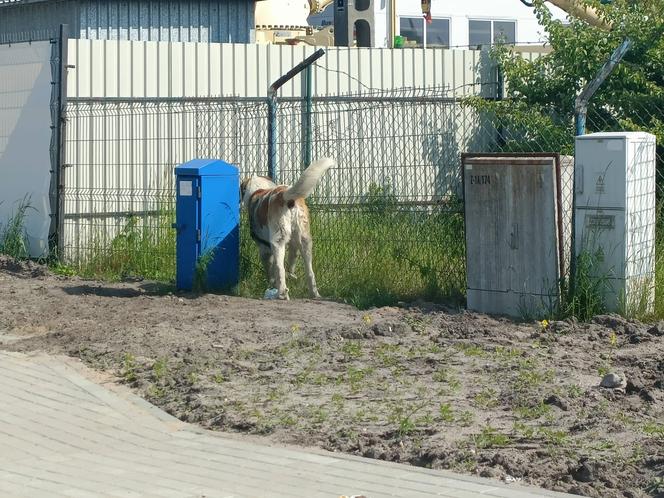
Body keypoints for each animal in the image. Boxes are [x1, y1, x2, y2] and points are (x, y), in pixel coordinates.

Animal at [240, 158, 338, 302]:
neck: (258, 190)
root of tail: (284, 195)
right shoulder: (293, 243)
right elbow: (291, 260)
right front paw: (291, 274)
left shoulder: (264, 249)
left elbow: (271, 270)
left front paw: (271, 284)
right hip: (305, 241)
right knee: (310, 272)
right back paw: (314, 294)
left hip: (278, 242)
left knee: (280, 270)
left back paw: (281, 294)